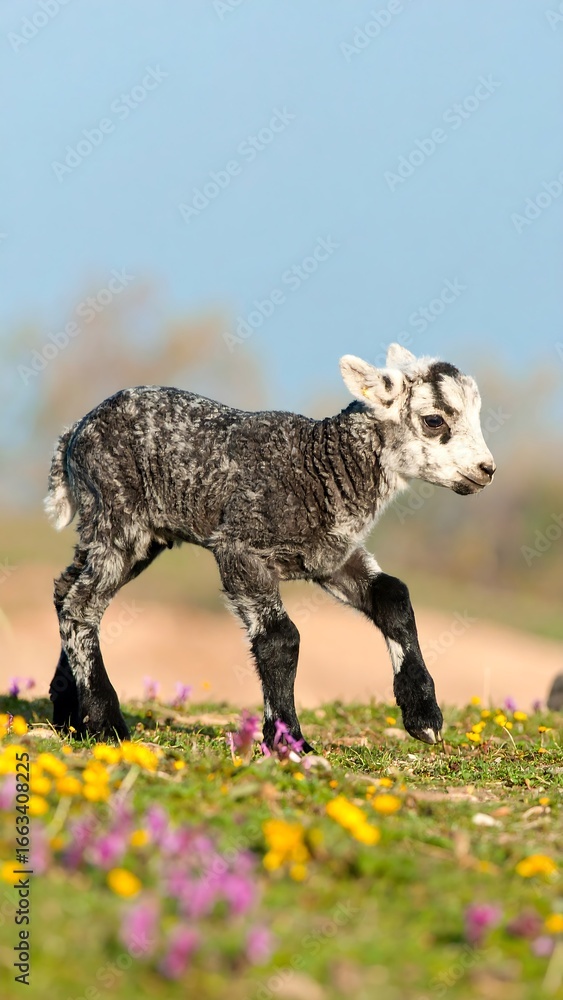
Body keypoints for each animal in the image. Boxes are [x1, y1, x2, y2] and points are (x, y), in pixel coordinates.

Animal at [45, 343, 495, 748]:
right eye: (434, 420)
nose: (487, 470)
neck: (321, 465)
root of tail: (73, 433)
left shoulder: (330, 555)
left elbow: (393, 595)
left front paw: (424, 716)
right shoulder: (240, 547)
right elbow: (281, 639)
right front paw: (288, 739)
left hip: (131, 534)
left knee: (67, 590)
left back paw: (69, 710)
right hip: (117, 513)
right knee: (82, 605)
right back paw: (106, 723)